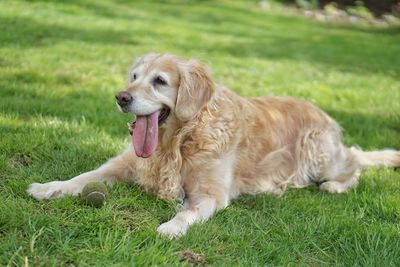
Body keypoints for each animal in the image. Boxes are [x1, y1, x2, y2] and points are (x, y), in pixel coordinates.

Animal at [26, 52, 398, 239]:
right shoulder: (121, 165)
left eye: (159, 81)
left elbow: (188, 211)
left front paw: (171, 227)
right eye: (134, 76)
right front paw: (47, 187)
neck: (178, 141)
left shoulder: (210, 193)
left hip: (320, 154)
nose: (121, 97)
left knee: (355, 162)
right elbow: (82, 177)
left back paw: (335, 186)